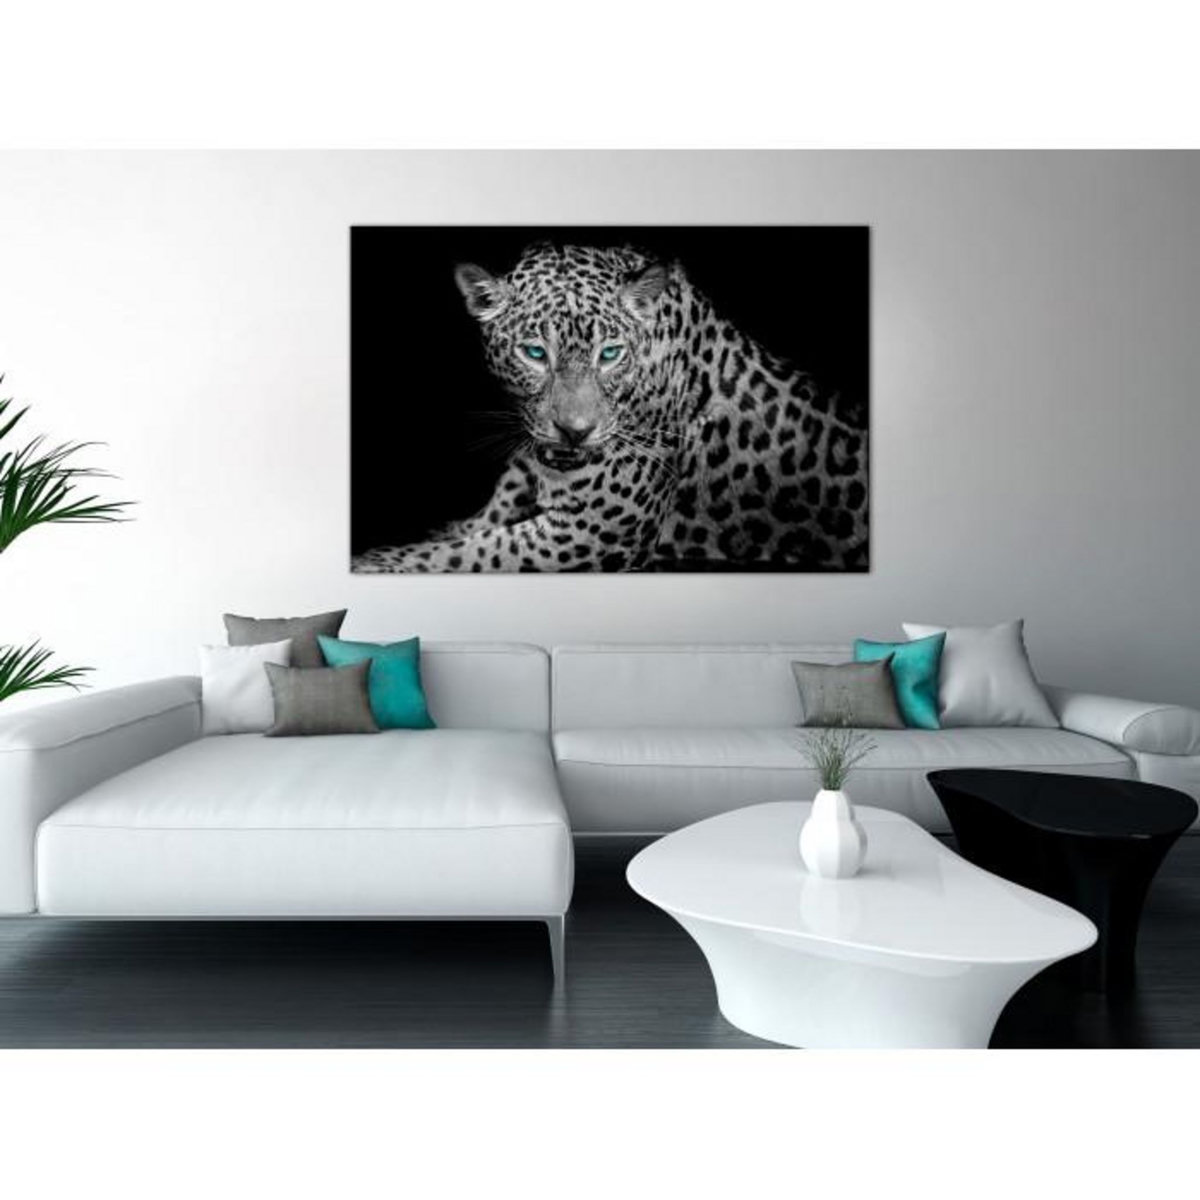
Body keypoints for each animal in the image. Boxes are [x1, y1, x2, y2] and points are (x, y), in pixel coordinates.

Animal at [351, 241, 868, 573]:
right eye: (535, 353)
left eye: (610, 354)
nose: (575, 431)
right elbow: (464, 532)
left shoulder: (594, 529)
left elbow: (464, 554)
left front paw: (377, 561)